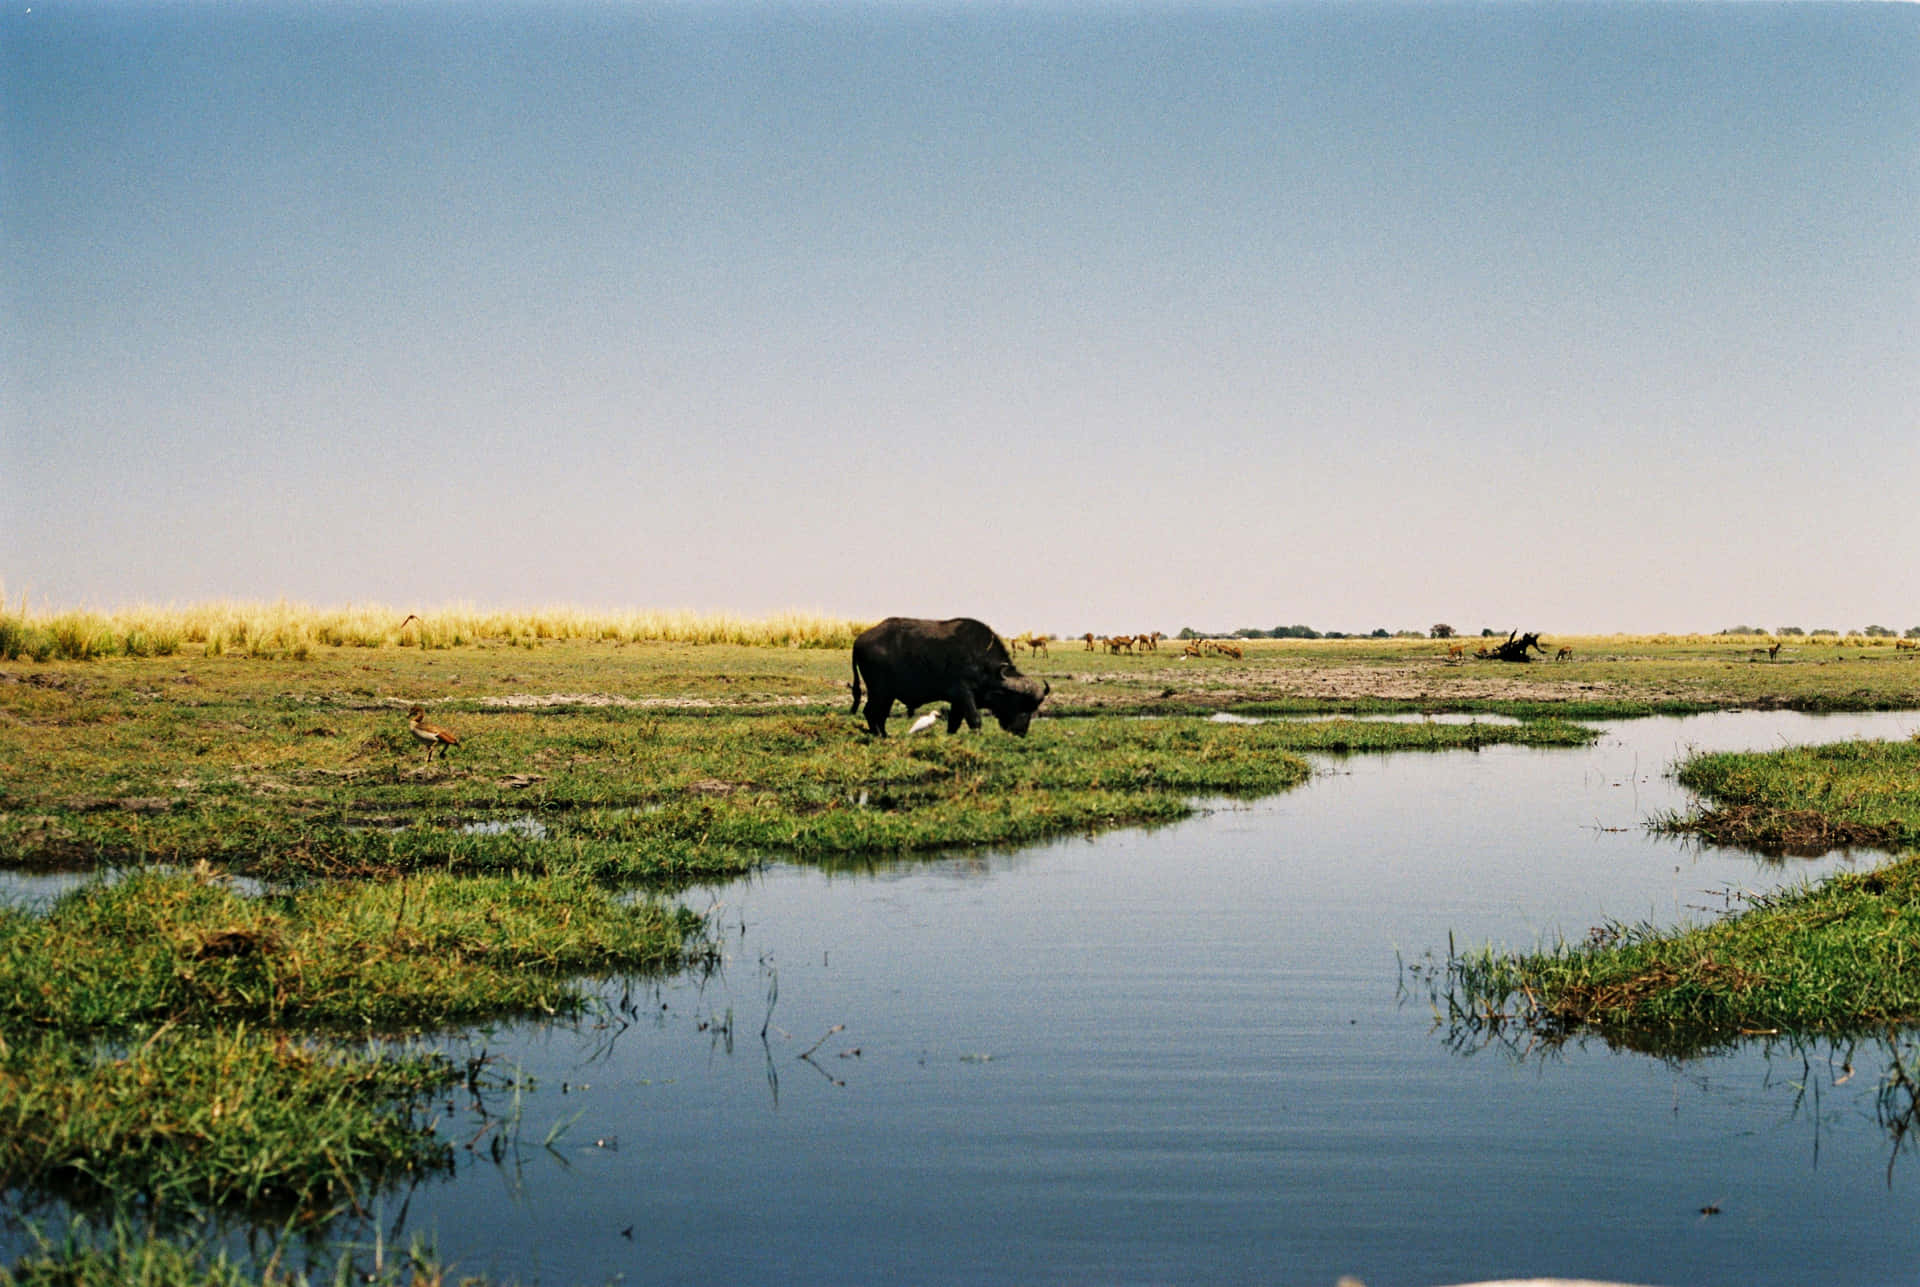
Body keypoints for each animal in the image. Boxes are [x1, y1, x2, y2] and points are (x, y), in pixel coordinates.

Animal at [844, 618, 1052, 741]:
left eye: (1033, 708)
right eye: (1018, 703)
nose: (1021, 731)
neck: (982, 662)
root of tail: (859, 640)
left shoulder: (957, 701)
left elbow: (954, 722)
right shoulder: (964, 694)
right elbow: (974, 719)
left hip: (887, 694)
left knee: (880, 714)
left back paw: (885, 735)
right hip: (878, 691)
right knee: (870, 712)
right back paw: (878, 736)